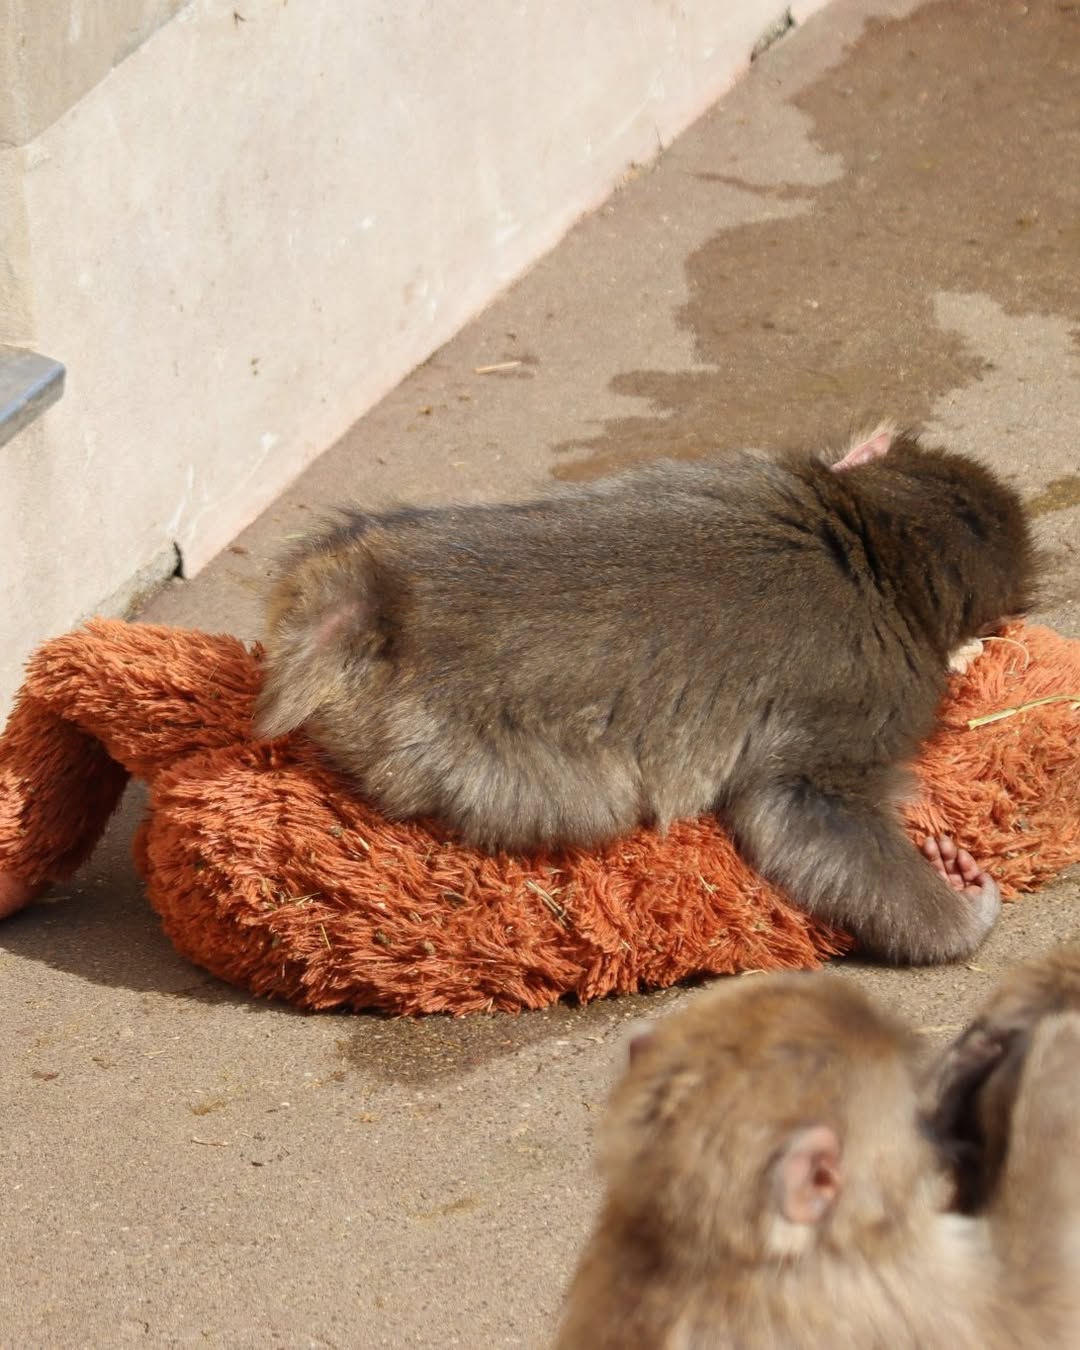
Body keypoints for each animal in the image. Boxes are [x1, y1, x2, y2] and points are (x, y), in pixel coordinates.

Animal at [255, 423, 1039, 964]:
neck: (878, 540)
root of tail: (376, 598)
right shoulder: (876, 692)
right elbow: (803, 809)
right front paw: (958, 907)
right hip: (456, 754)